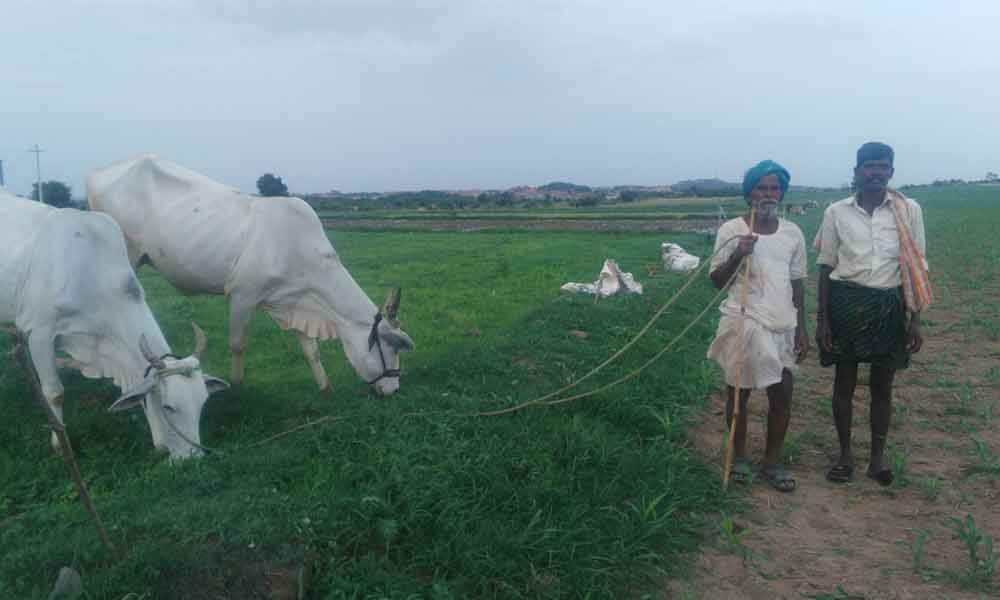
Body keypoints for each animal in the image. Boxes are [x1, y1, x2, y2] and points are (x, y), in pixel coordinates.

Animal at [0, 188, 229, 460]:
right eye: (168, 407)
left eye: (202, 403)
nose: (192, 459)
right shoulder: (40, 333)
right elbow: (55, 393)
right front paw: (60, 445)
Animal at [87, 155, 414, 396]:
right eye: (391, 348)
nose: (394, 389)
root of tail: (97, 174)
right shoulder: (242, 295)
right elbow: (238, 345)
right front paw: (237, 386)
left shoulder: (296, 299)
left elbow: (311, 350)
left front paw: (325, 387)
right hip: (126, 256)